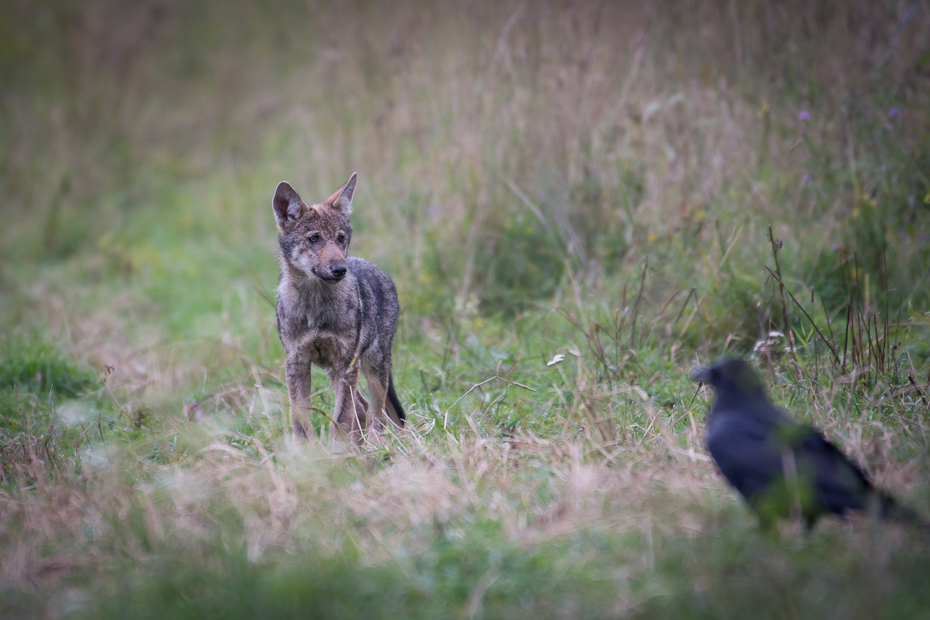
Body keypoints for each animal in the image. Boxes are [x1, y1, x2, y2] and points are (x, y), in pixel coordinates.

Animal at [270, 172, 404, 444]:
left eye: (340, 238)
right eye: (314, 239)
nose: (340, 269)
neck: (315, 310)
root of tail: (378, 270)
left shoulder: (346, 365)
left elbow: (341, 419)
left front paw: (336, 451)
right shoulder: (296, 364)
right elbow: (299, 420)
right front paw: (305, 452)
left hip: (372, 368)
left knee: (378, 415)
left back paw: (374, 446)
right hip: (337, 373)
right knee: (363, 408)